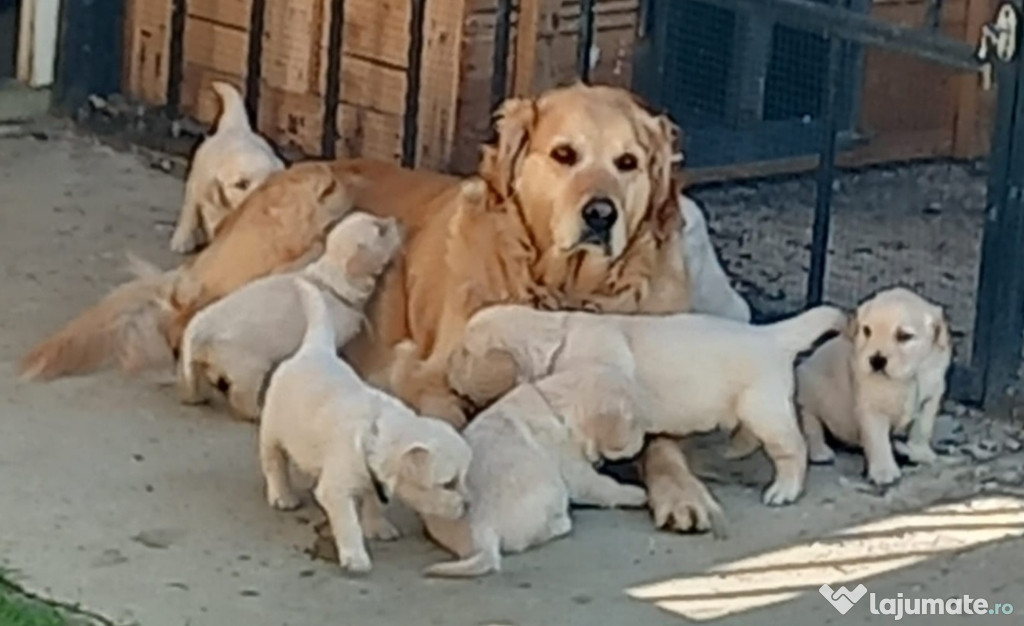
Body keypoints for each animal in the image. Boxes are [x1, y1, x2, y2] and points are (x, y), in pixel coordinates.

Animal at [262, 278, 473, 573]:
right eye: (448, 483)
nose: (468, 505)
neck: (377, 435)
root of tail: (314, 349)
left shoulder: (377, 479)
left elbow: (375, 503)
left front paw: (377, 526)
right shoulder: (337, 490)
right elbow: (348, 522)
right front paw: (355, 556)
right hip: (271, 429)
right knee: (274, 462)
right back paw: (282, 496)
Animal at [417, 366, 643, 577]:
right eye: (636, 423)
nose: (646, 439)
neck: (556, 408)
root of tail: (482, 533)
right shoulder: (578, 475)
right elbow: (606, 487)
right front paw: (638, 494)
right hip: (554, 486)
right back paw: (561, 523)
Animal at [790, 286, 950, 487]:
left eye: (904, 336)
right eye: (867, 330)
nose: (876, 360)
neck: (907, 378)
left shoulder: (930, 398)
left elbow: (922, 428)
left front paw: (921, 453)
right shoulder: (871, 408)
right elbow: (878, 440)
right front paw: (884, 471)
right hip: (808, 397)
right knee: (812, 426)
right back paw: (820, 451)